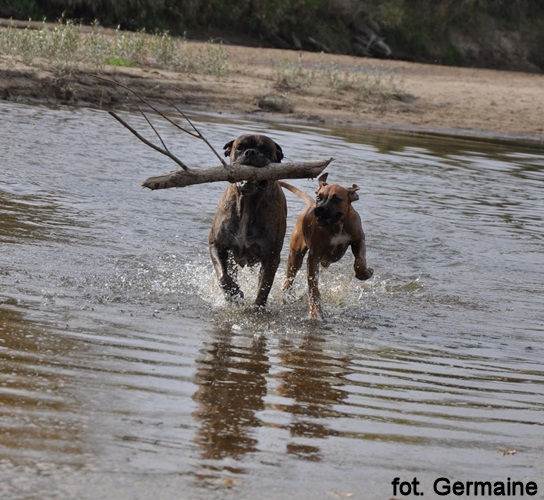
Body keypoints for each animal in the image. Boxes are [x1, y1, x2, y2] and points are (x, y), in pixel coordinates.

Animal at [209, 134, 287, 307]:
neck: (248, 203)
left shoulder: (271, 257)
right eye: (240, 147)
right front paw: (234, 293)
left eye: (264, 149)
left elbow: (264, 287)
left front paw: (257, 307)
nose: (250, 152)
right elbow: (223, 276)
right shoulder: (217, 246)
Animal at [280, 173, 373, 318]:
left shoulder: (359, 240)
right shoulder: (314, 257)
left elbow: (360, 261)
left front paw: (364, 273)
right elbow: (313, 286)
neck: (337, 225)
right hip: (295, 256)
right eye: (319, 197)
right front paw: (315, 310)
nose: (318, 209)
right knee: (289, 278)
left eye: (336, 199)